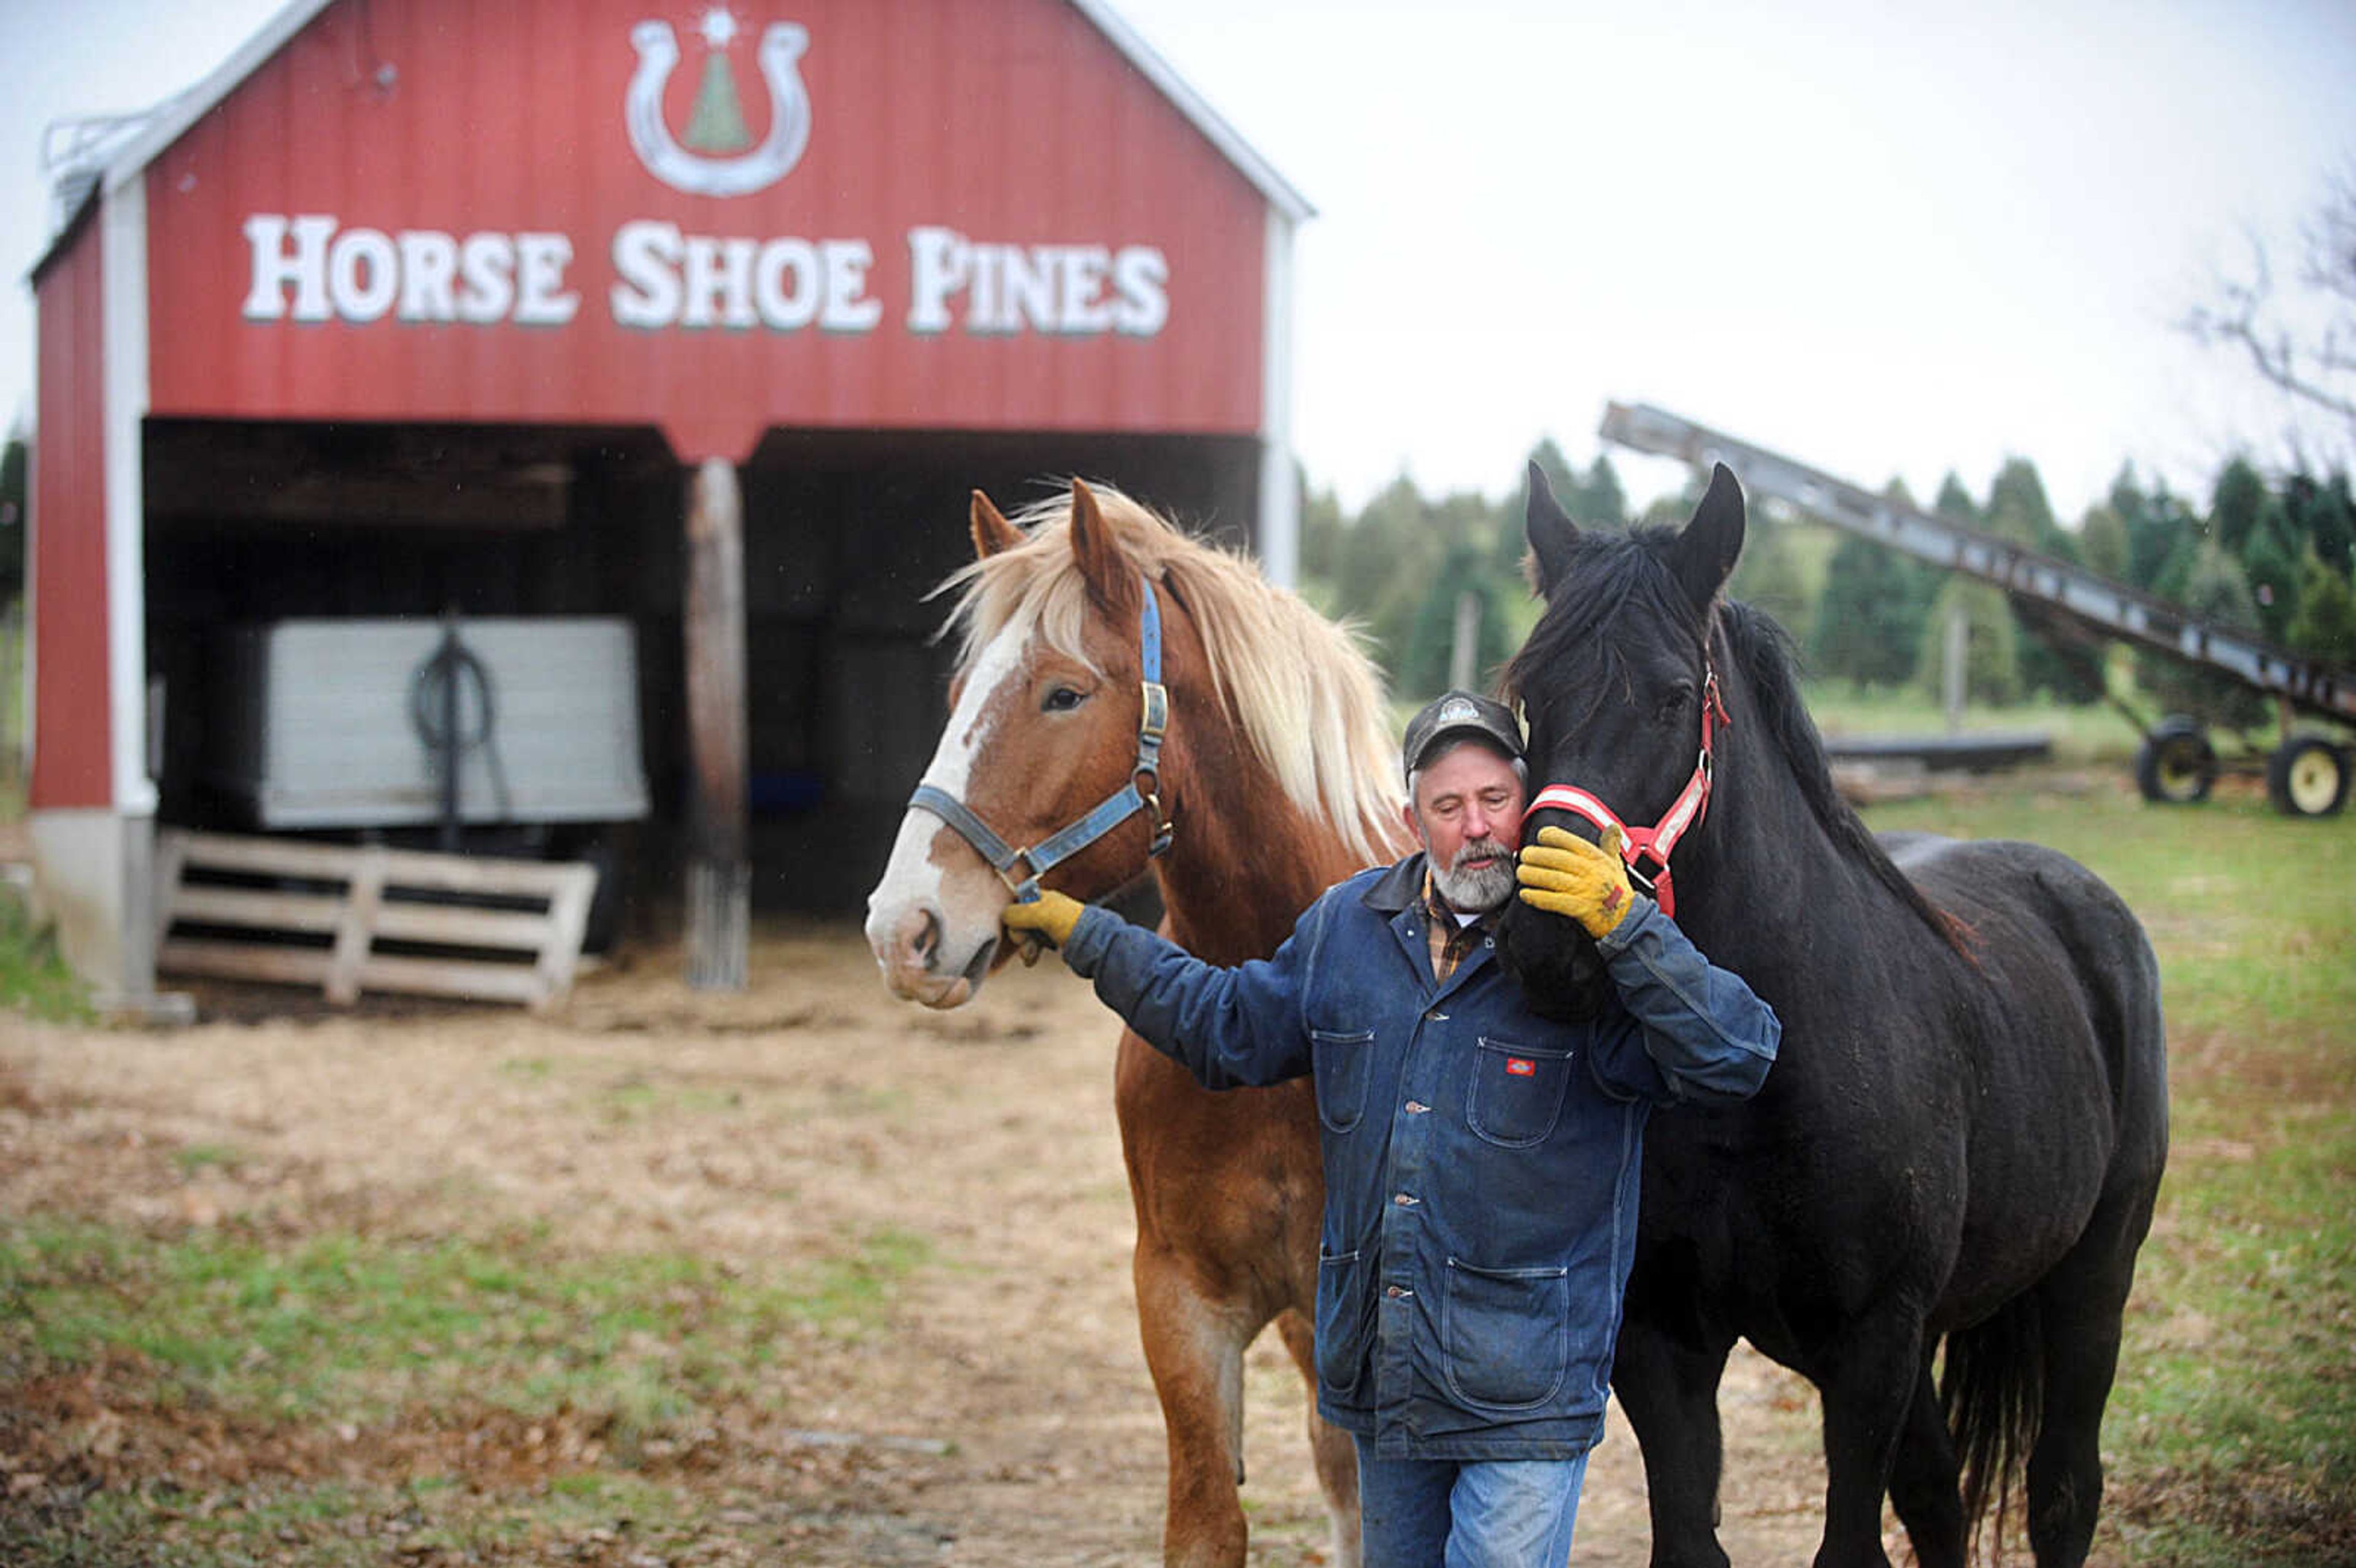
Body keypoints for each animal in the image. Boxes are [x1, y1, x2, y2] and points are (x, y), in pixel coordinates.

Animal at [1498, 464, 2158, 1563]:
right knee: (1941, 1499)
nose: (1547, 947)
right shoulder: (1662, 1341)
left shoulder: (1872, 1347)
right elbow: (1693, 1534)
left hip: (2092, 1281)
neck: (1765, 1063)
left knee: (2065, 1490)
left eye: (1671, 696)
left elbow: (1852, 1541)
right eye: (1526, 700)